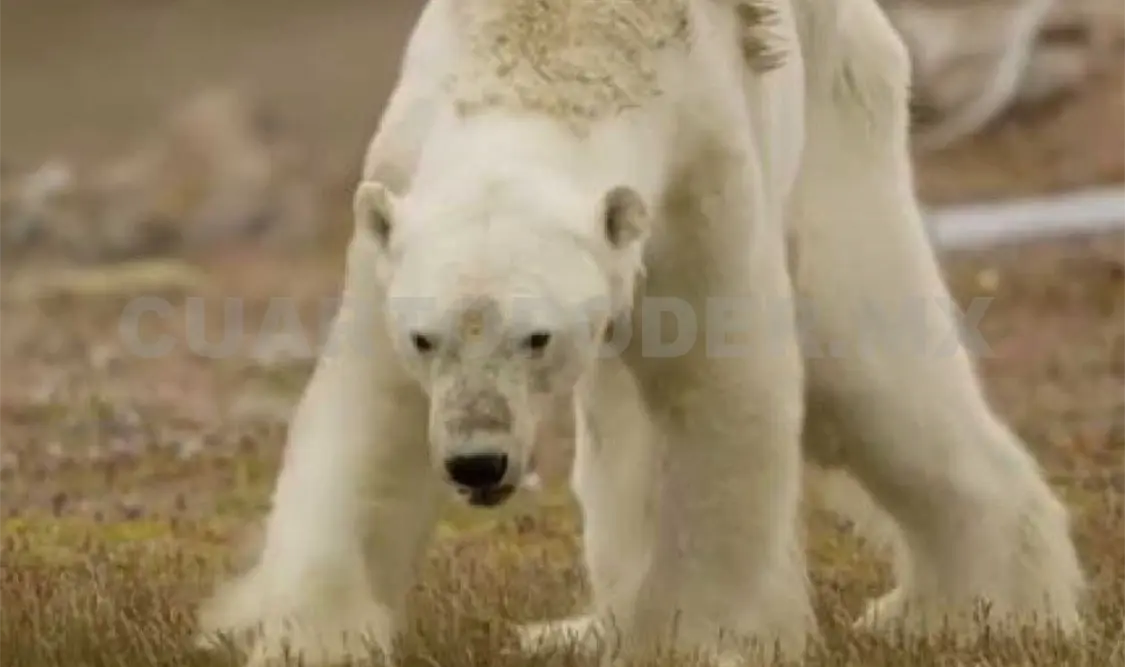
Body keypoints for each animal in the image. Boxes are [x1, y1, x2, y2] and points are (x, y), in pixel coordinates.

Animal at [194, 0, 1086, 665]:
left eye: (536, 337)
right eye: (426, 339)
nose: (478, 462)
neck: (554, 57)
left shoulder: (699, 178)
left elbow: (720, 405)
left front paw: (691, 640)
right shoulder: (399, 197)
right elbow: (370, 424)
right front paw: (311, 638)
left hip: (837, 135)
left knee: (868, 373)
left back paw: (971, 611)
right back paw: (579, 629)